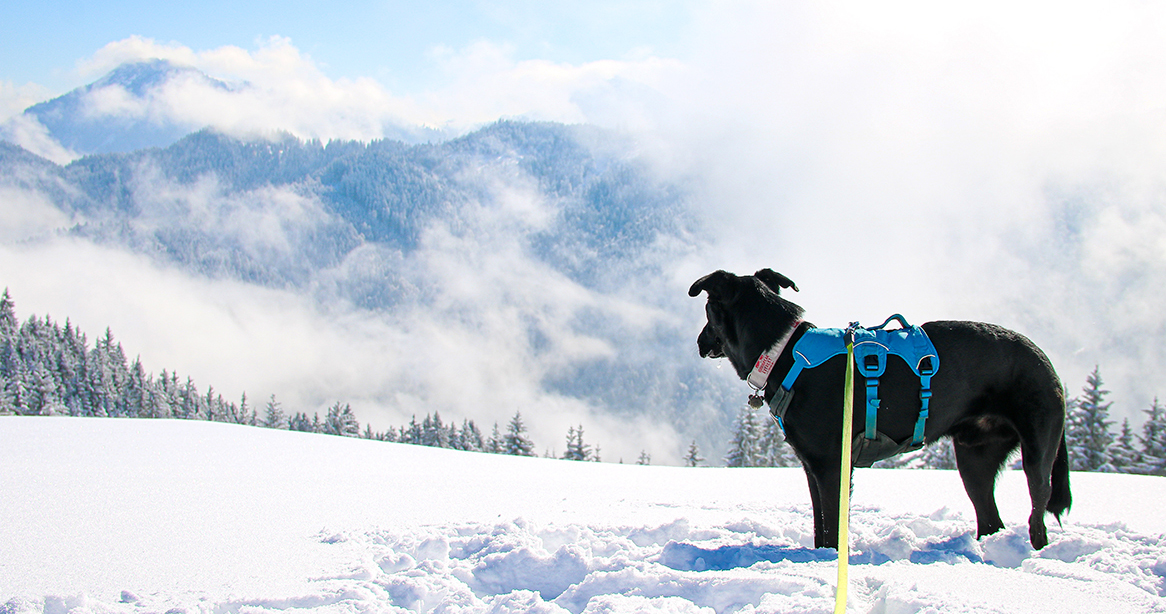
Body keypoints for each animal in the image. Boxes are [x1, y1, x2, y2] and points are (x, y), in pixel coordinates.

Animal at [685, 271, 1068, 549]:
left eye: (706, 312)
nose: (699, 342)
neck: (784, 352)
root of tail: (1045, 361)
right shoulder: (813, 468)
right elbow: (820, 528)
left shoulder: (832, 467)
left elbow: (832, 529)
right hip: (975, 460)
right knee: (991, 520)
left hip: (1037, 454)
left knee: (1037, 513)